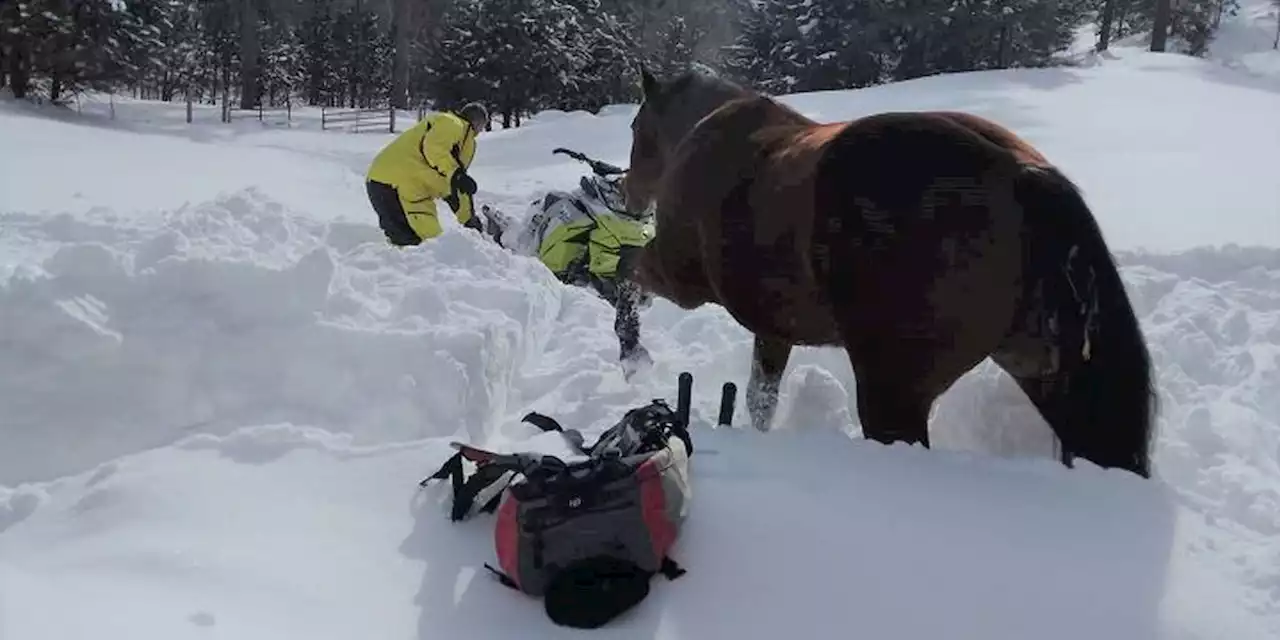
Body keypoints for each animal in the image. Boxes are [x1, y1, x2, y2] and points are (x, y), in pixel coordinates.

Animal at [616, 67, 1162, 478]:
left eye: (636, 130)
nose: (629, 196)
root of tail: (1018, 176)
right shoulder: (774, 330)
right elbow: (759, 399)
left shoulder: (680, 278)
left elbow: (630, 271)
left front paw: (630, 347)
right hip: (1044, 374)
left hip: (893, 394)